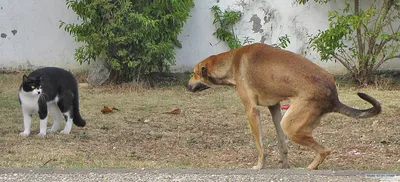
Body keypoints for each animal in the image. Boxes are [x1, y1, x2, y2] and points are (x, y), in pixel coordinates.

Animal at [188, 43, 382, 170]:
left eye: (194, 73)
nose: (187, 86)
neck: (232, 61)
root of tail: (334, 96)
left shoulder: (252, 111)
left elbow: (260, 146)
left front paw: (259, 166)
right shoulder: (274, 107)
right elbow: (282, 144)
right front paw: (285, 166)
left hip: (290, 125)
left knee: (324, 150)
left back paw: (309, 169)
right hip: (288, 121)